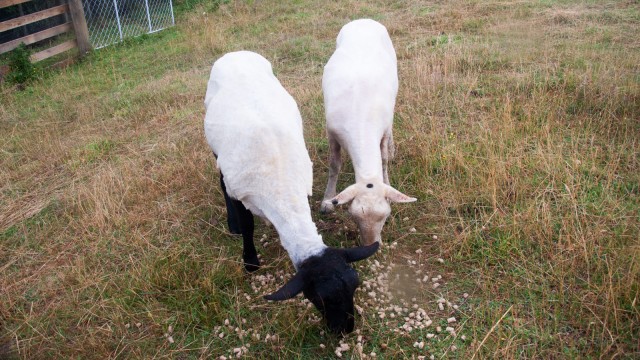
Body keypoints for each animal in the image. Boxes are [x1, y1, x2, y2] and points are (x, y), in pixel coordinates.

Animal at [204, 50, 380, 334]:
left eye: (355, 285)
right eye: (318, 298)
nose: (345, 329)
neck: (281, 192)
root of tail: (236, 53)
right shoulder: (239, 190)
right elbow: (247, 223)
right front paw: (250, 262)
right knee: (220, 179)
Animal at [322, 19, 418, 245]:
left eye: (385, 216)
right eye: (354, 216)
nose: (371, 246)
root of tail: (363, 19)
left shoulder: (381, 132)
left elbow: (383, 160)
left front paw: (387, 178)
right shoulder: (332, 133)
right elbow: (334, 166)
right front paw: (327, 201)